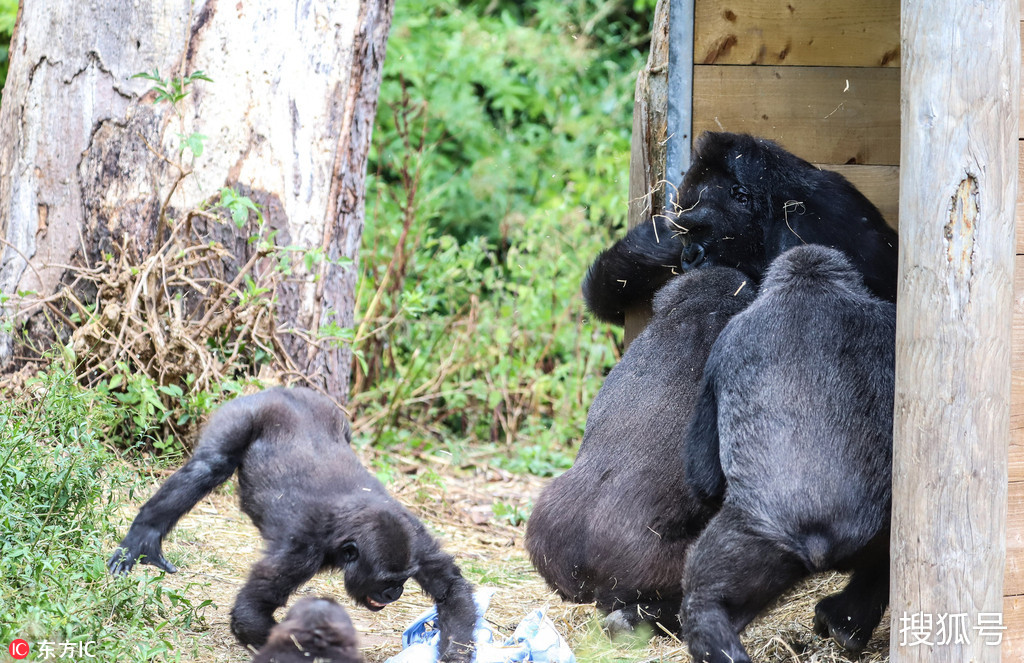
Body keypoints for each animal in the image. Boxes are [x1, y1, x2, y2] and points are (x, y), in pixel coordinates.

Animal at [110, 387, 477, 659]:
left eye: (403, 578)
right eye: (387, 580)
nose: (396, 592)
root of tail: (282, 391)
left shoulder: (415, 538)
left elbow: (451, 588)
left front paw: (455, 655)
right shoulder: (299, 550)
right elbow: (251, 613)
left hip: (332, 414)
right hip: (245, 412)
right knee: (210, 465)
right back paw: (145, 534)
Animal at [581, 131, 901, 323]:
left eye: (700, 229)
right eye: (685, 233)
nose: (688, 257)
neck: (772, 212)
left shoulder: (804, 233)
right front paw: (607, 289)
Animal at [679, 245, 897, 659]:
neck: (808, 285)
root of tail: (820, 543)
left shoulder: (723, 342)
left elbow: (703, 475)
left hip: (758, 533)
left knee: (705, 595)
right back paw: (847, 624)